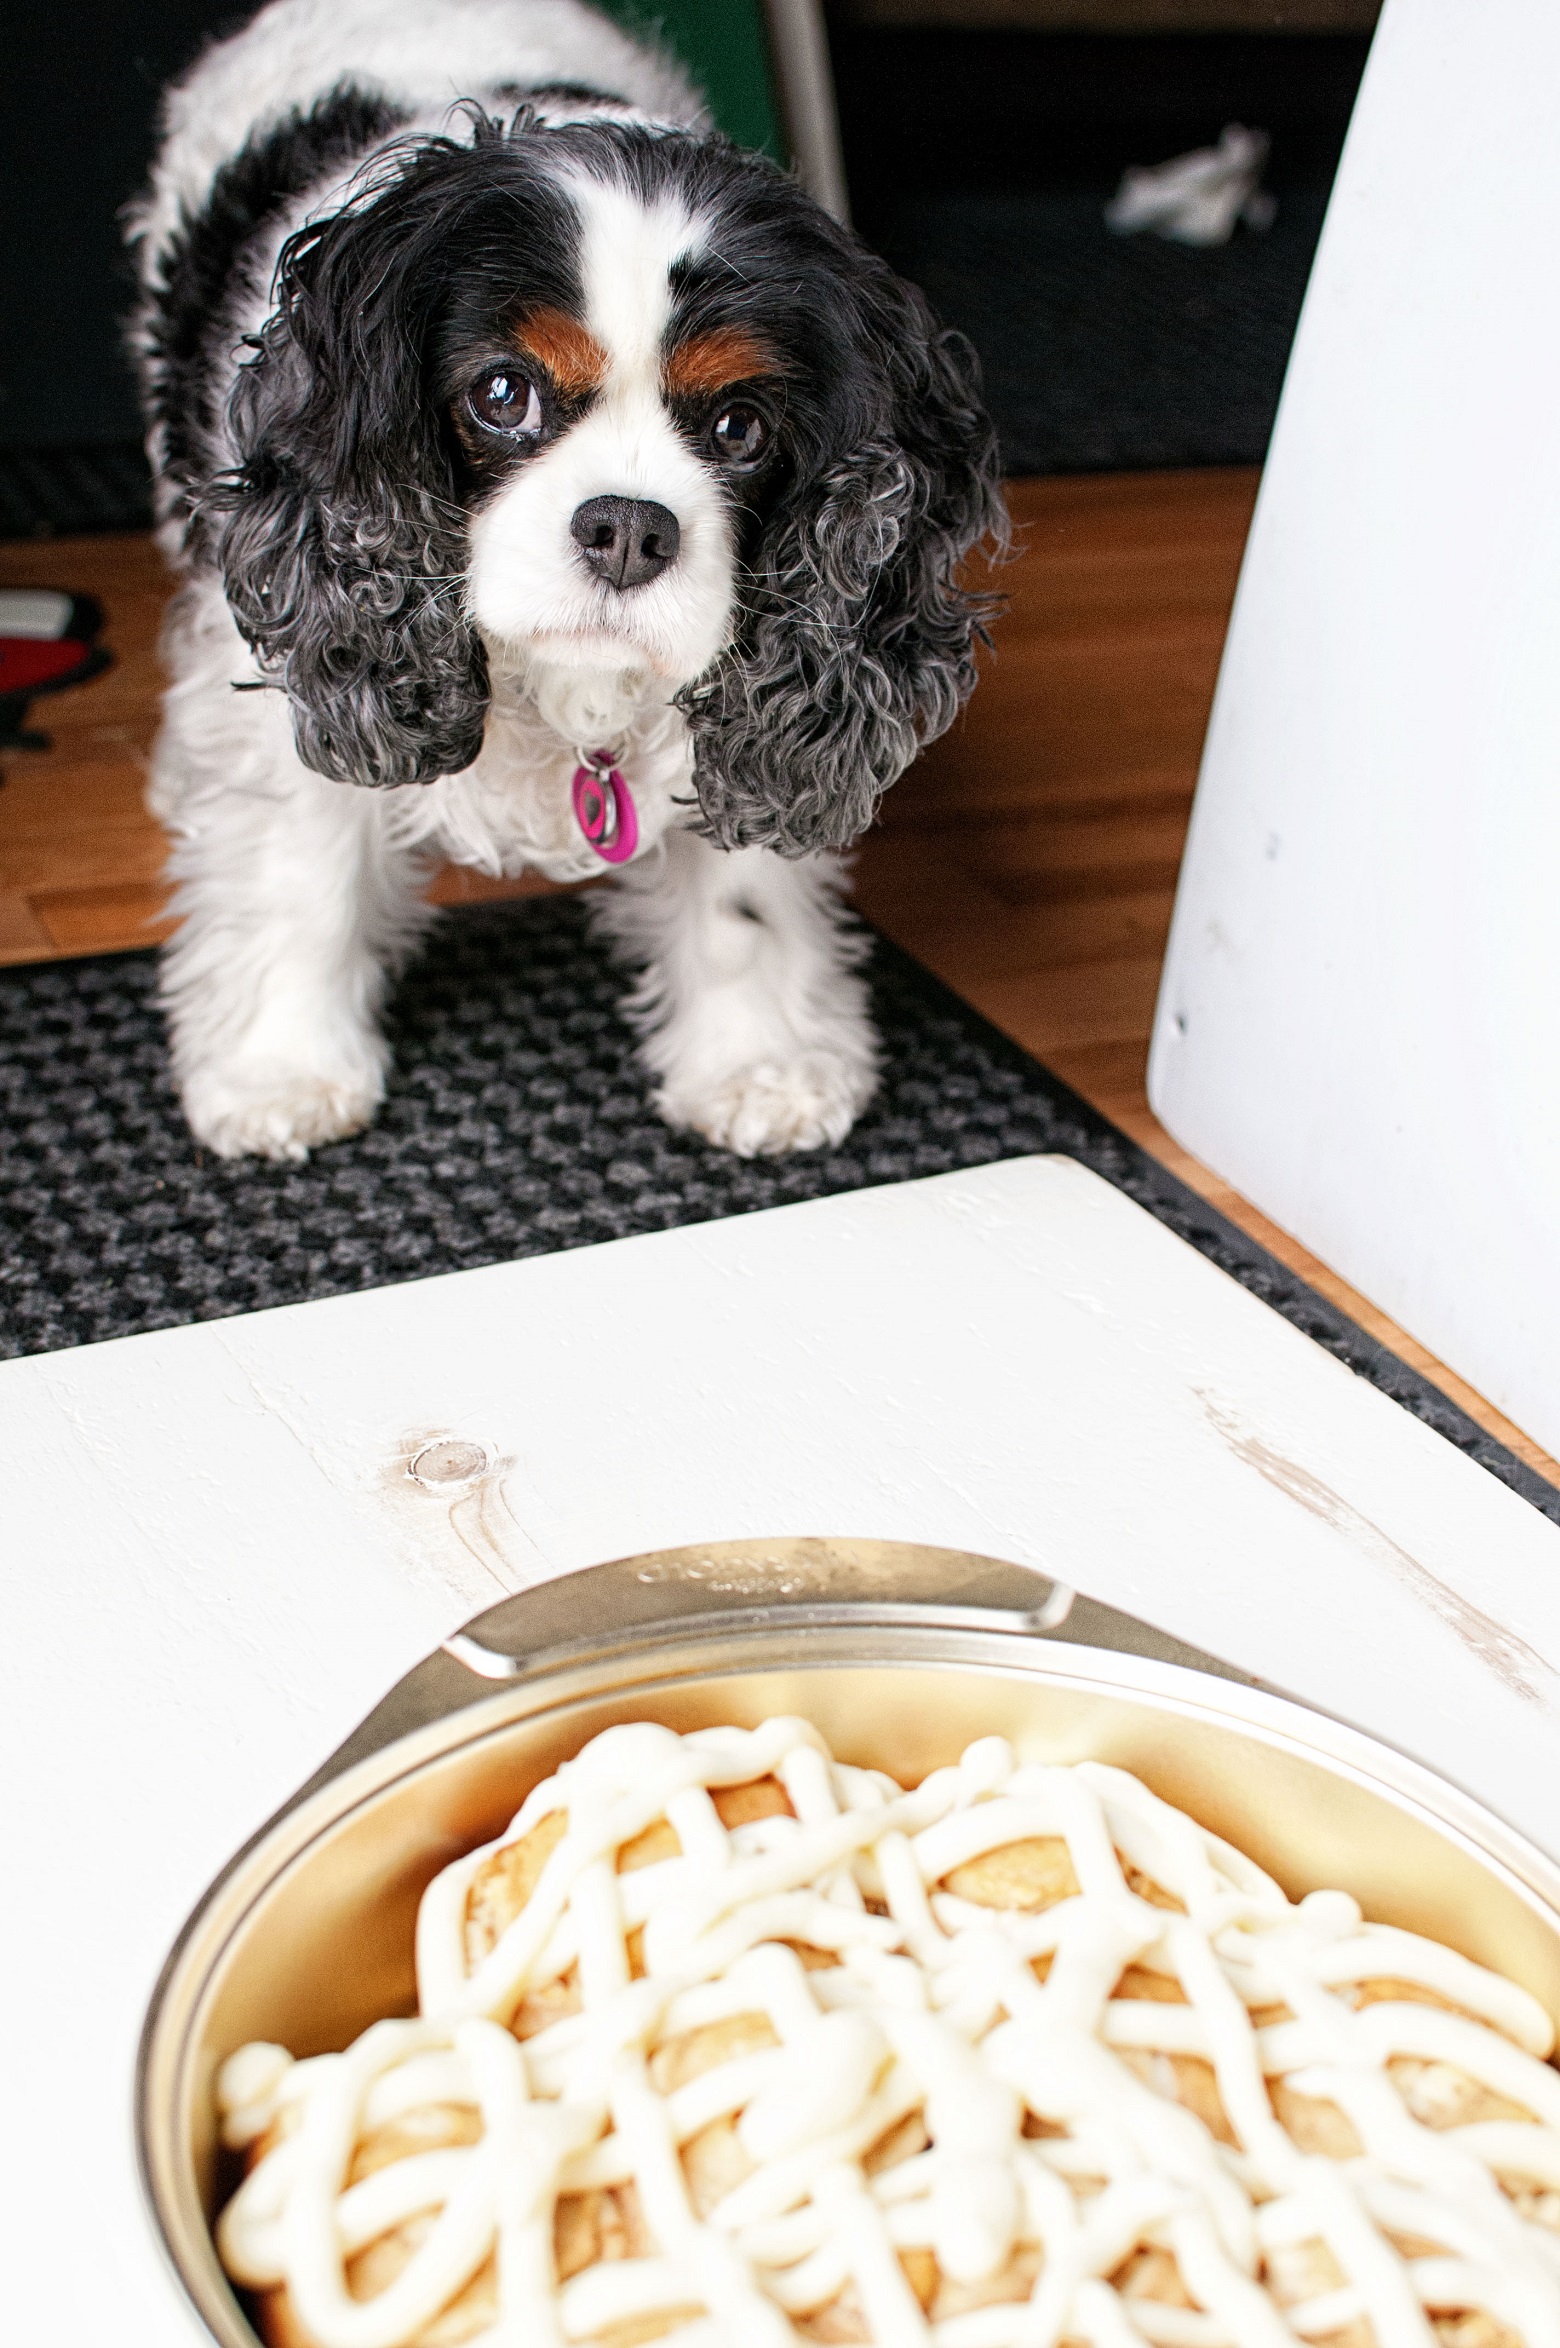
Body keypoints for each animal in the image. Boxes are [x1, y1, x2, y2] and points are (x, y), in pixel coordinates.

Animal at [128, 0, 991, 1164]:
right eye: (503, 394)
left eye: (739, 425)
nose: (628, 529)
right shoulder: (306, 645)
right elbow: (296, 867)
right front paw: (281, 1067)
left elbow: (743, 888)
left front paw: (759, 1060)